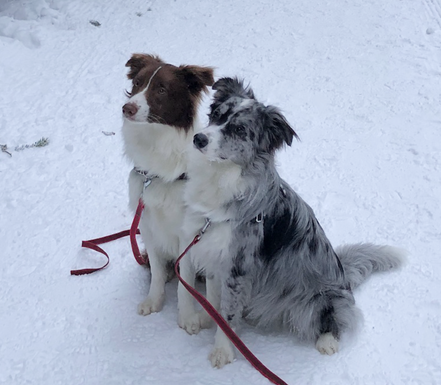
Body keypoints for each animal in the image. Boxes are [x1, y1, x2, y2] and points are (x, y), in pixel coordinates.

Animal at [120, 54, 213, 324]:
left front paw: (187, 317)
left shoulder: (188, 232)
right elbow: (159, 271)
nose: (127, 108)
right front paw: (154, 300)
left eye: (161, 89)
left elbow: (186, 281)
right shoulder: (147, 223)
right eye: (138, 83)